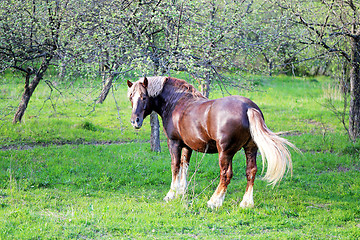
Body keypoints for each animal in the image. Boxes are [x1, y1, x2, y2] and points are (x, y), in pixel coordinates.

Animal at [128, 76, 296, 207]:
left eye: (144, 97)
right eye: (131, 98)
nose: (135, 121)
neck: (177, 102)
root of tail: (249, 107)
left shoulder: (174, 142)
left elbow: (175, 166)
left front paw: (171, 194)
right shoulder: (187, 146)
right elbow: (184, 166)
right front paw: (182, 192)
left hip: (225, 152)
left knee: (226, 174)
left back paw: (214, 201)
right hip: (250, 148)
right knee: (251, 171)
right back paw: (246, 203)